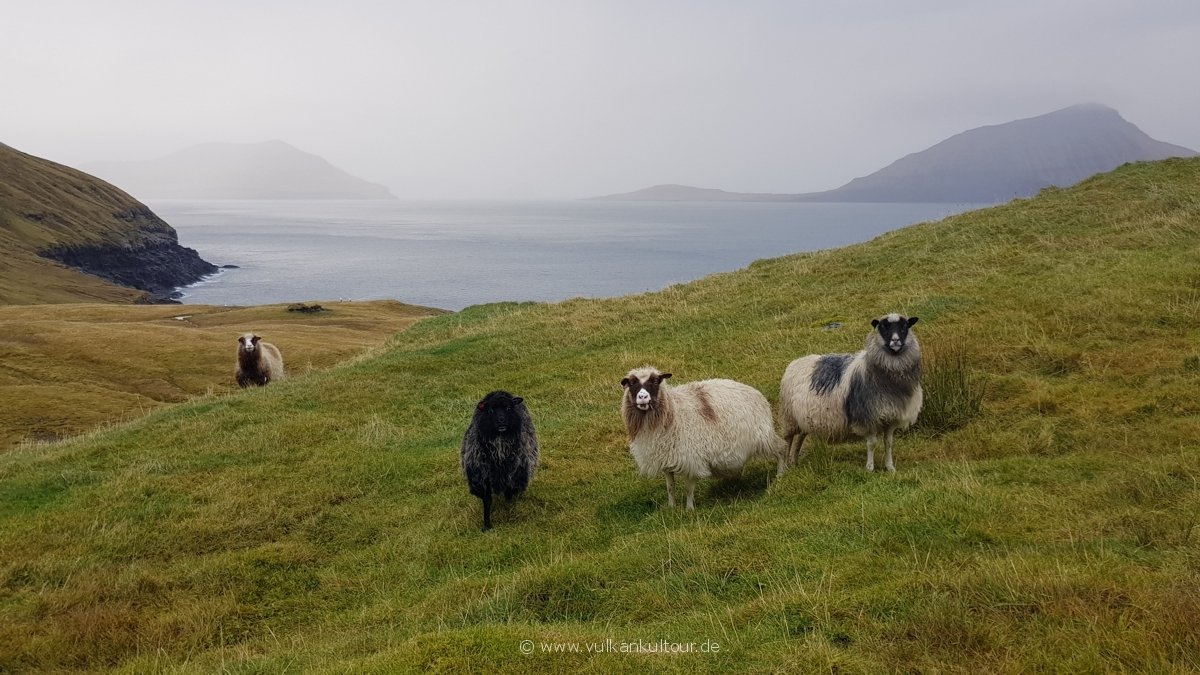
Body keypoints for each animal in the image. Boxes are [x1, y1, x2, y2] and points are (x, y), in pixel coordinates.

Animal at [458, 389, 540, 530]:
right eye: (490, 410)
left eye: (508, 408)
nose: (501, 421)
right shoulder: (482, 477)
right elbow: (487, 501)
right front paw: (486, 526)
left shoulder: (514, 475)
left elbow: (509, 495)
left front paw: (508, 513)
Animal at [619, 365, 787, 506]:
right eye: (631, 383)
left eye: (655, 381)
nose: (642, 397)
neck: (673, 411)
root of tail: (755, 392)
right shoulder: (665, 458)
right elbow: (670, 487)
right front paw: (671, 508)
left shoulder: (691, 457)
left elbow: (689, 489)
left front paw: (689, 509)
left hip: (763, 436)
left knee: (781, 448)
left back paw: (780, 476)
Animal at [777, 312, 926, 470]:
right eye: (883, 328)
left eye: (905, 327)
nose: (895, 341)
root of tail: (795, 362)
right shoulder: (867, 417)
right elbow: (872, 444)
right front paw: (870, 468)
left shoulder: (891, 417)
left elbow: (889, 443)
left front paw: (890, 467)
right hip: (789, 417)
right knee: (787, 440)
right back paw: (784, 468)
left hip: (803, 418)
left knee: (800, 437)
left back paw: (794, 461)